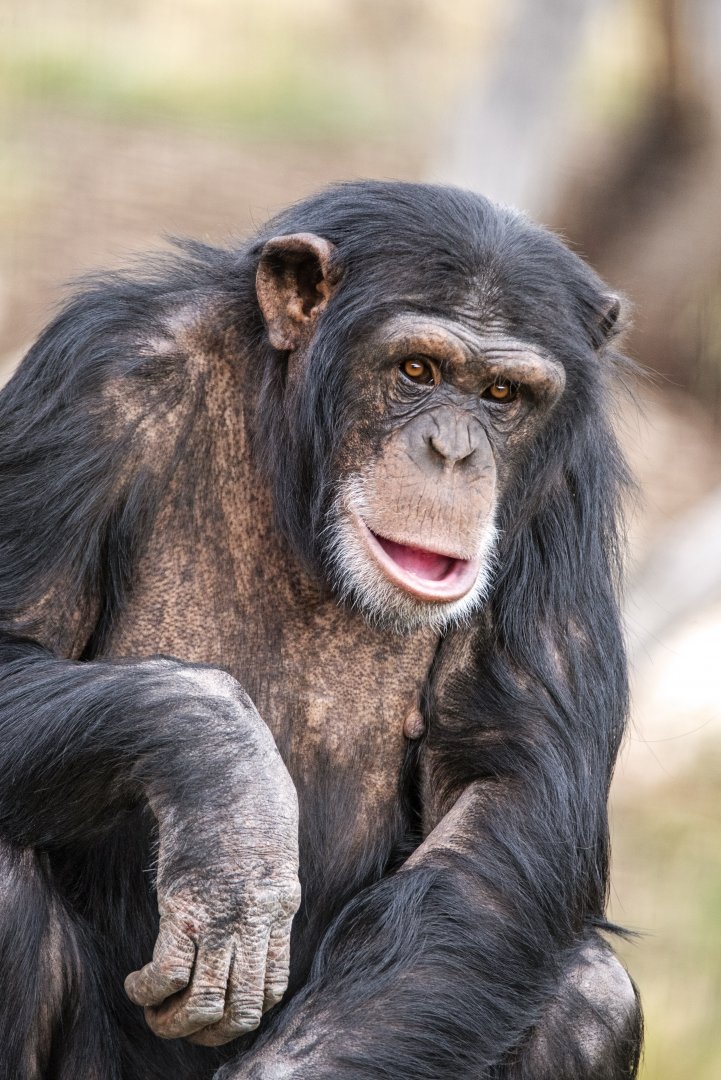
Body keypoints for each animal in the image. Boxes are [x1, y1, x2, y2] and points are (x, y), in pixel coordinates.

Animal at [0, 181, 641, 1079]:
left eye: (501, 397)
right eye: (416, 370)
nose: (453, 451)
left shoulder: (566, 483)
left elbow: (505, 787)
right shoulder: (94, 375)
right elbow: (15, 644)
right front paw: (228, 793)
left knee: (590, 998)